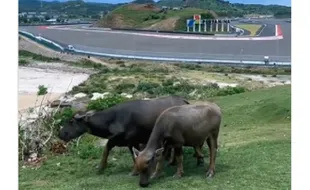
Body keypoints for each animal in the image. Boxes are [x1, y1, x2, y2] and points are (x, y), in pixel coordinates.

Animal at [57, 95, 189, 176]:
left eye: (71, 121)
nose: (60, 134)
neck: (113, 120)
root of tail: (183, 100)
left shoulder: (132, 140)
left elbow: (109, 147)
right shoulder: (127, 142)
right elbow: (126, 153)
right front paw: (102, 167)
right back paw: (171, 161)